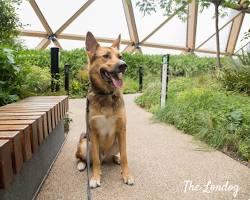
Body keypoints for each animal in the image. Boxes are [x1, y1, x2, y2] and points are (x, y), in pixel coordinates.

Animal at [75, 32, 135, 188]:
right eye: (106, 56)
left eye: (120, 56)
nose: (123, 65)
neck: (106, 95)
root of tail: (105, 157)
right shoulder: (93, 132)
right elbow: (95, 160)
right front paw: (95, 177)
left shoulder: (122, 130)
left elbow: (125, 156)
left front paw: (127, 175)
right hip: (85, 143)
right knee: (87, 159)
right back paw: (82, 164)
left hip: (116, 143)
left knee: (114, 155)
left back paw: (116, 159)